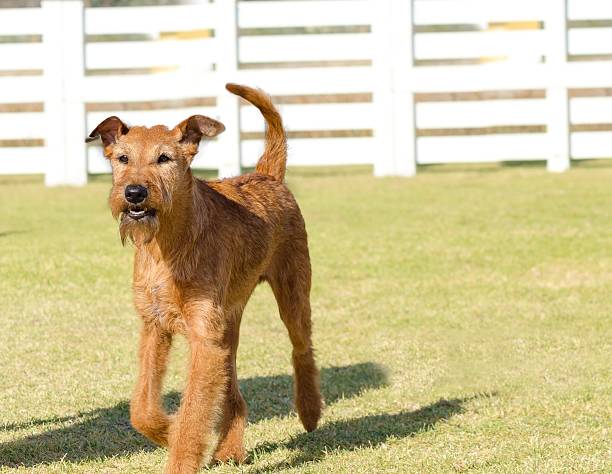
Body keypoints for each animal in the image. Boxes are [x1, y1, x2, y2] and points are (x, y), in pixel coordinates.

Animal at [88, 83, 326, 472]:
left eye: (164, 158)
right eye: (122, 158)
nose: (134, 193)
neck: (167, 245)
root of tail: (267, 174)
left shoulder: (203, 337)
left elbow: (193, 414)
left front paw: (179, 451)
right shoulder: (155, 326)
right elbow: (142, 407)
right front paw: (166, 430)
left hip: (292, 294)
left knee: (302, 348)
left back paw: (309, 411)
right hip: (228, 328)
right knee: (234, 394)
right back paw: (229, 450)